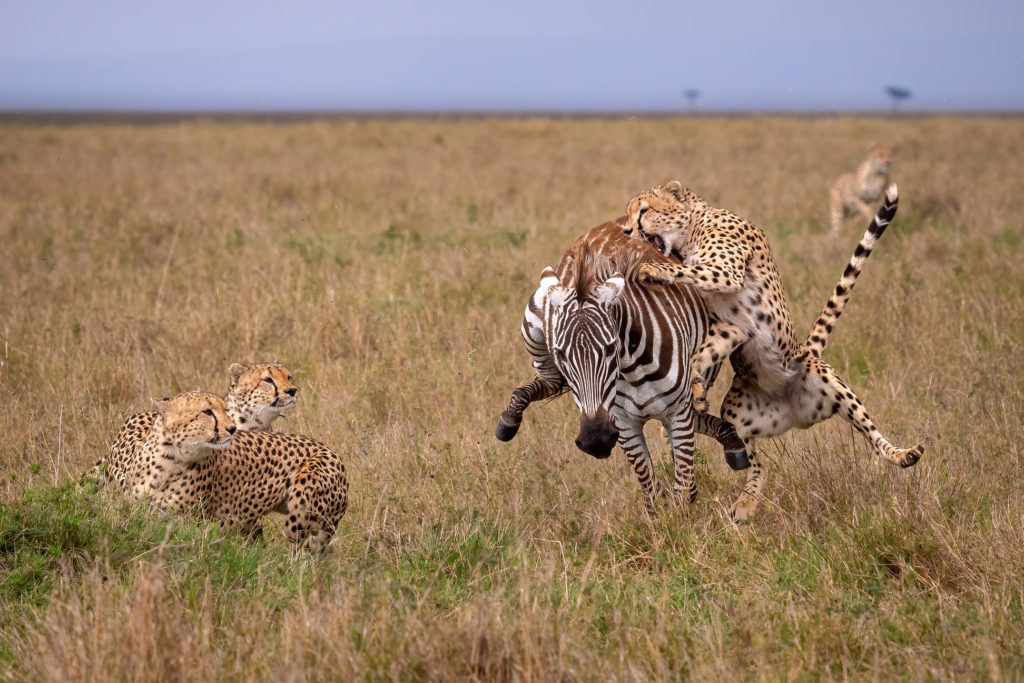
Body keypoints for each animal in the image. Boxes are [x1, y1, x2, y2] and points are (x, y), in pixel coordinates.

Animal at [491, 222, 749, 509]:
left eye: (610, 348)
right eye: (560, 353)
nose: (595, 441)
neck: (635, 371)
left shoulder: (678, 412)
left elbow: (684, 489)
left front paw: (681, 518)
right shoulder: (623, 423)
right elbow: (652, 493)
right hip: (534, 320)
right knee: (548, 382)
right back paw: (509, 419)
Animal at [618, 179, 925, 520]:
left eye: (644, 211)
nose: (627, 230)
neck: (697, 224)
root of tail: (795, 413)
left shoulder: (725, 273)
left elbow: (687, 272)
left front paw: (651, 269)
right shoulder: (731, 327)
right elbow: (702, 354)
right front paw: (697, 389)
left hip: (828, 381)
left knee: (872, 436)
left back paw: (902, 454)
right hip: (737, 412)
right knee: (757, 464)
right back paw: (746, 504)